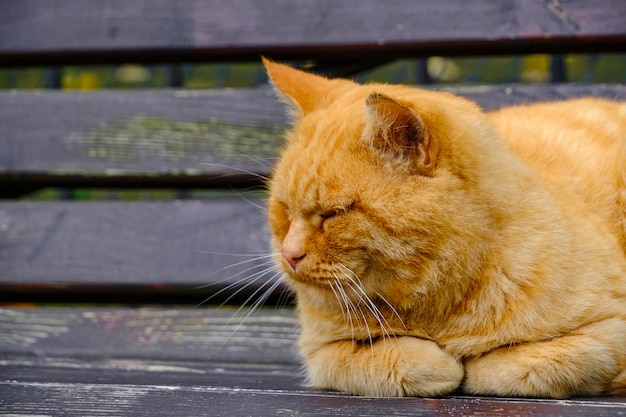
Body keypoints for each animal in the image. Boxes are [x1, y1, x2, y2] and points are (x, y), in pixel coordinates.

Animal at [260, 58, 624, 396]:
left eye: (334, 213)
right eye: (284, 209)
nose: (289, 255)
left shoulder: (608, 332)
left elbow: (515, 365)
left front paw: (472, 364)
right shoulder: (320, 353)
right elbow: (384, 360)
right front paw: (440, 364)